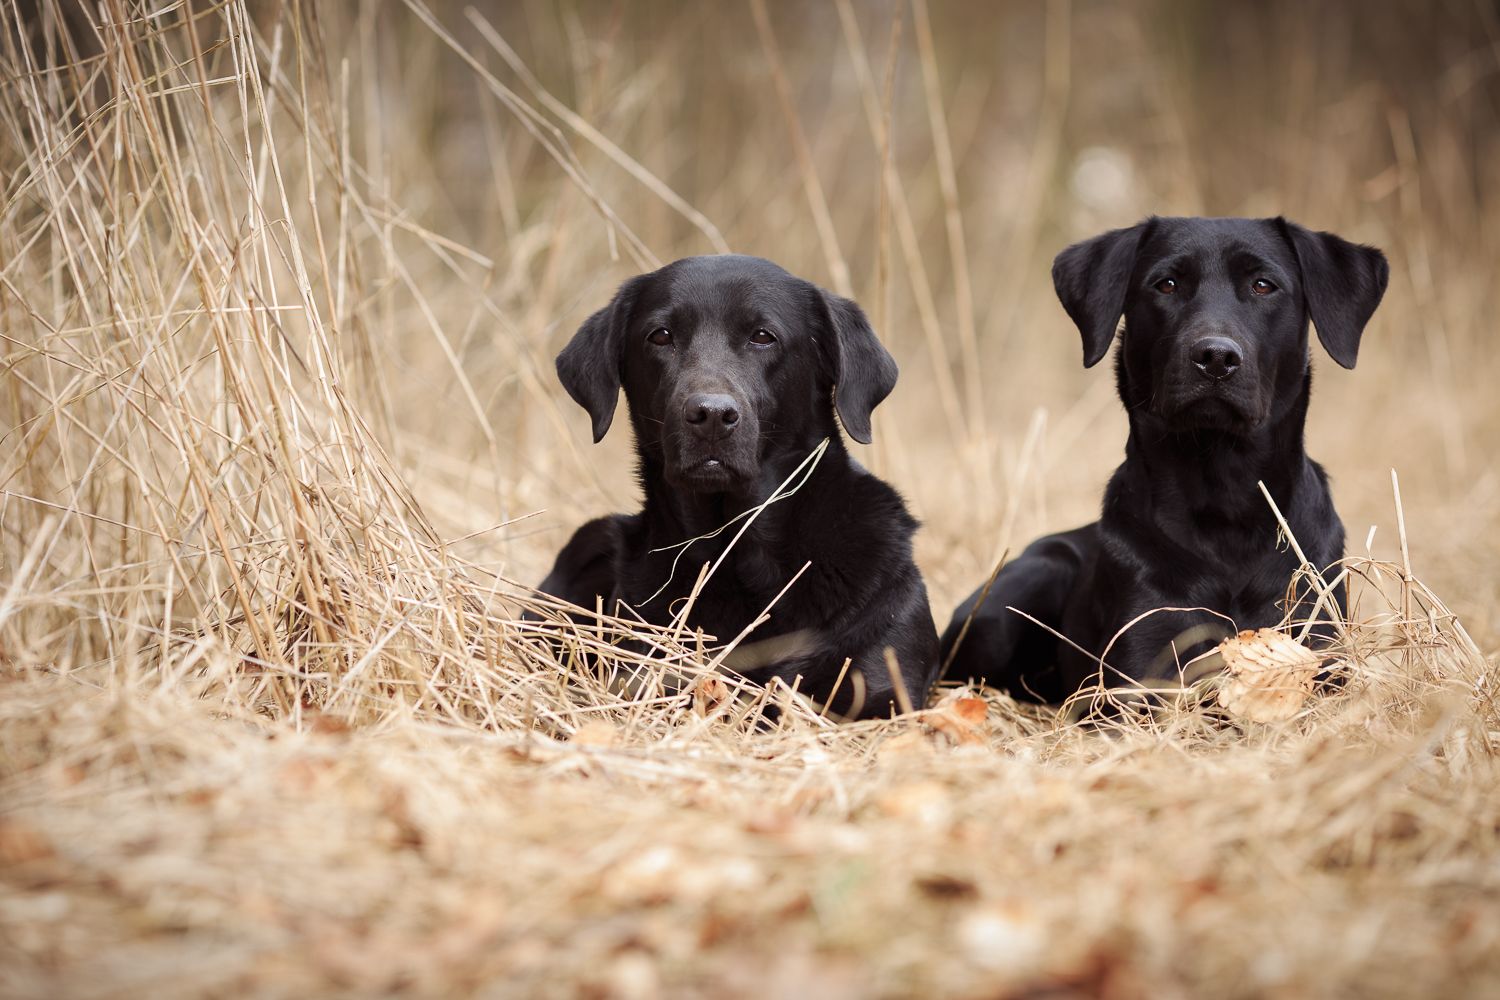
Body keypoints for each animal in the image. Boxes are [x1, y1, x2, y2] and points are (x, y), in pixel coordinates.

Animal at [942, 218, 1386, 704]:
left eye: (1263, 285)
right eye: (1167, 284)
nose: (1215, 357)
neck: (1223, 500)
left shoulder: (1313, 645)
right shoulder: (1138, 672)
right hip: (1019, 595)